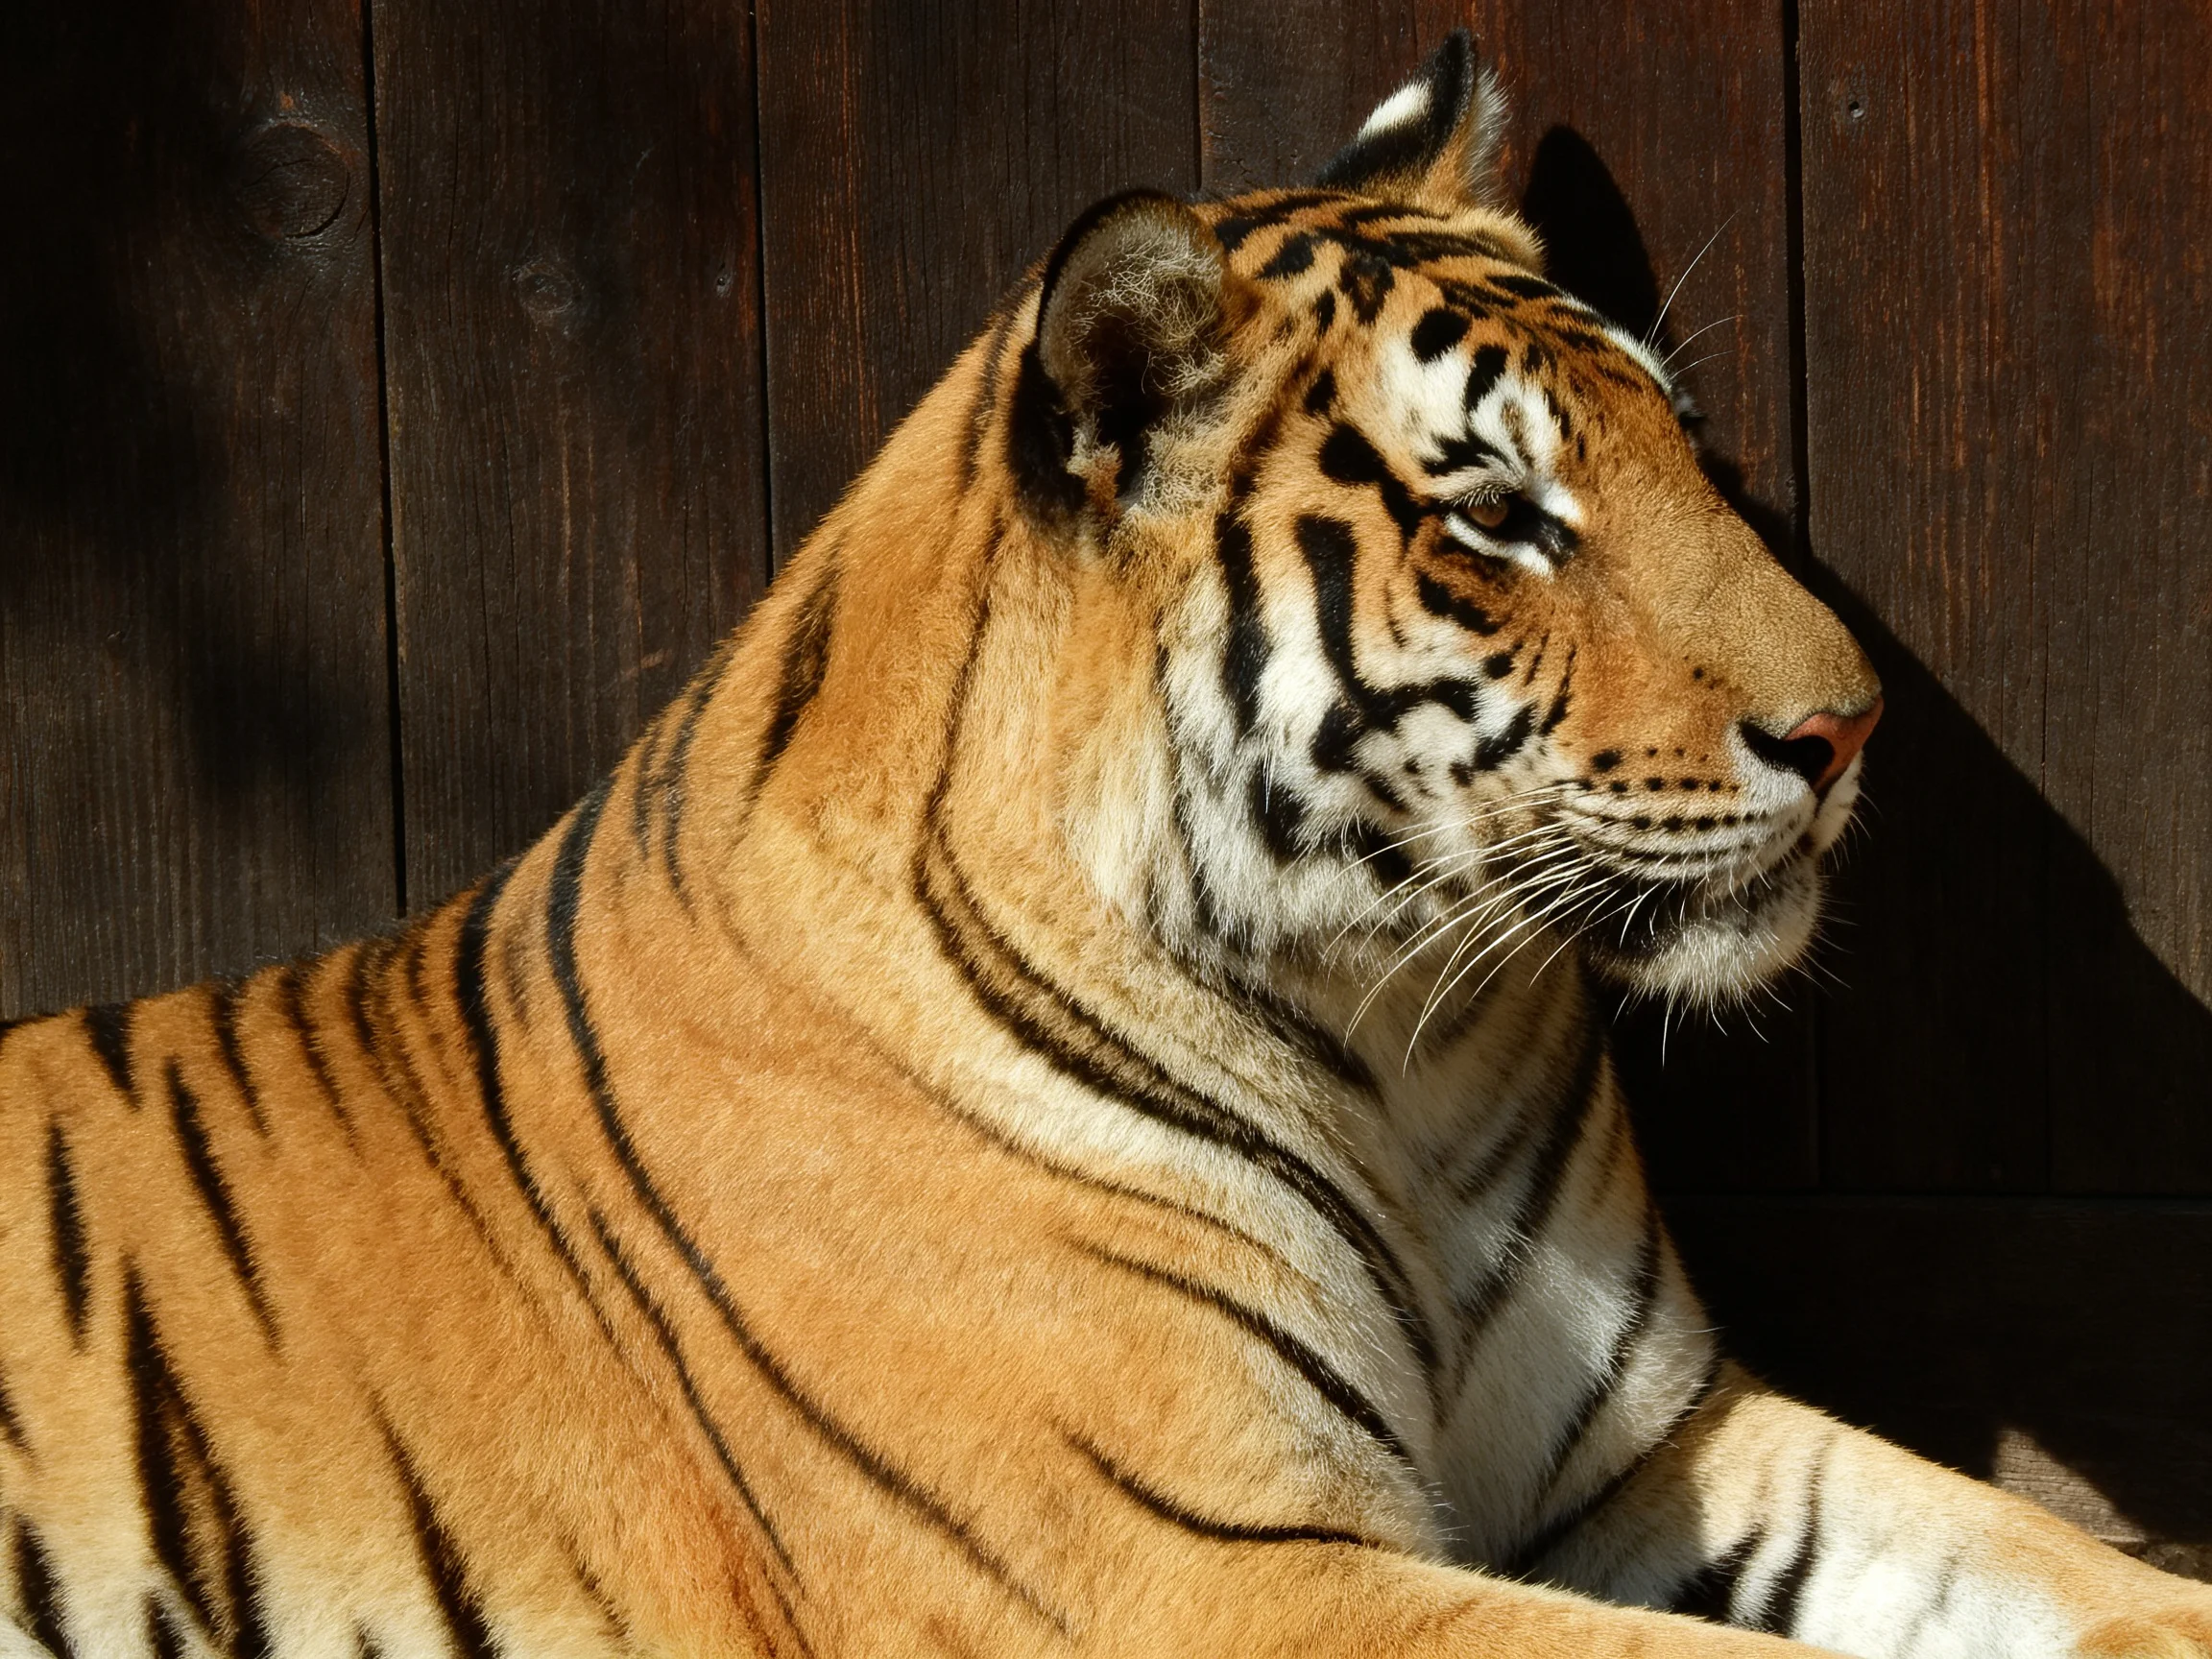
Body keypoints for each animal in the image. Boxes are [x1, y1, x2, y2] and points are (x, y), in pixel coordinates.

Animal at [3, 28, 2207, 1659]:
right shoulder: (1207, 1567)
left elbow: (2046, 1562)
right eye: (1497, 516)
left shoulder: (1638, 1450)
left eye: (1686, 447)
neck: (1398, 1036)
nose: (1850, 728)